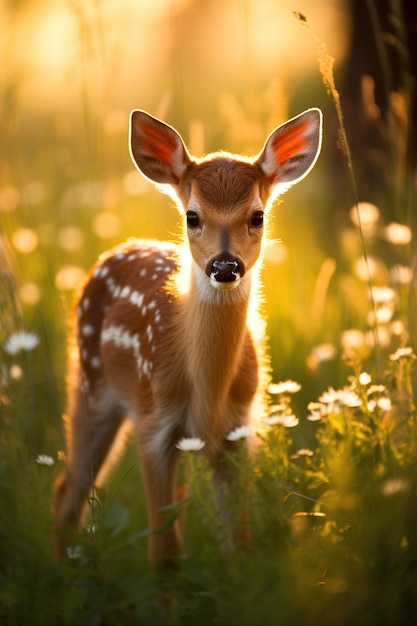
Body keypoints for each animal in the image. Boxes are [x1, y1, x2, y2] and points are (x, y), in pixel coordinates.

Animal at [54, 105, 322, 564]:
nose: (225, 266)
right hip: (92, 384)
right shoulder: (153, 423)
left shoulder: (237, 430)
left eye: (258, 216)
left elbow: (238, 544)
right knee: (68, 487)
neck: (207, 394)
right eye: (192, 216)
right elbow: (164, 555)